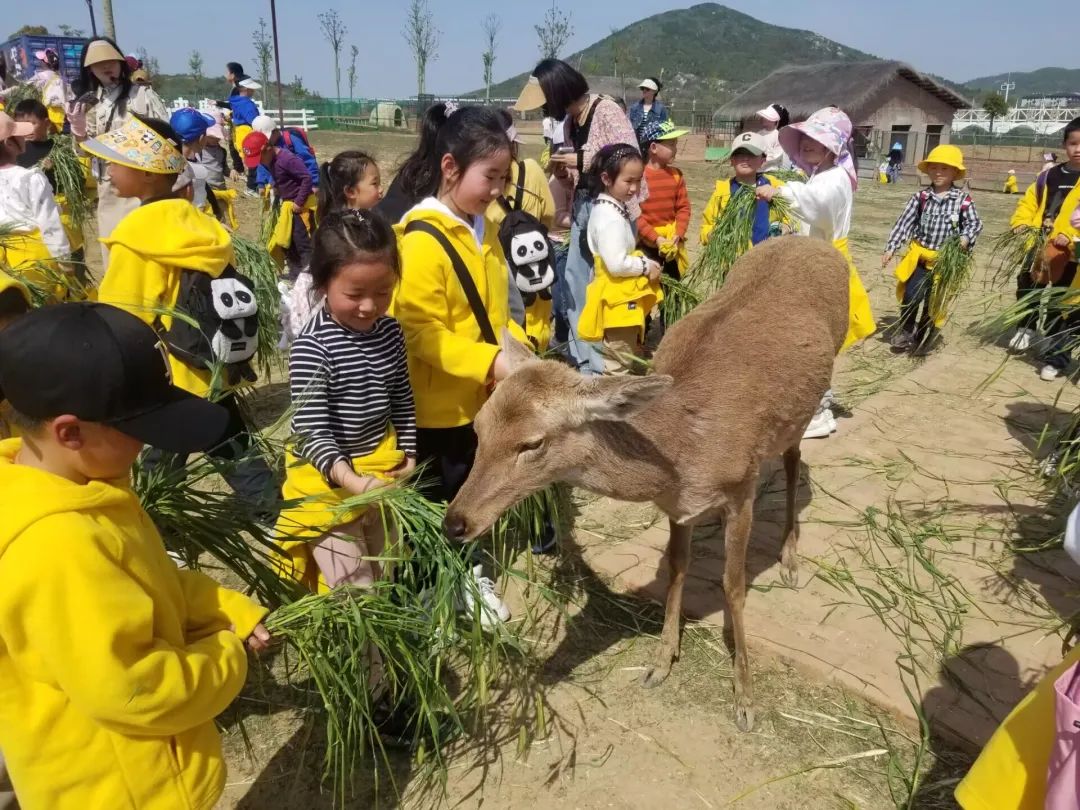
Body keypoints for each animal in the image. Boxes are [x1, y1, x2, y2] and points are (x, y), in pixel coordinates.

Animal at [442, 236, 846, 734]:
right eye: (479, 426)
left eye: (532, 442)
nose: (454, 523)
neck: (683, 453)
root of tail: (814, 241)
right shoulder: (677, 506)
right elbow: (676, 567)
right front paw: (660, 661)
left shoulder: (741, 485)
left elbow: (733, 585)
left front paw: (745, 699)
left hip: (805, 405)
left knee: (794, 461)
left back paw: (790, 558)